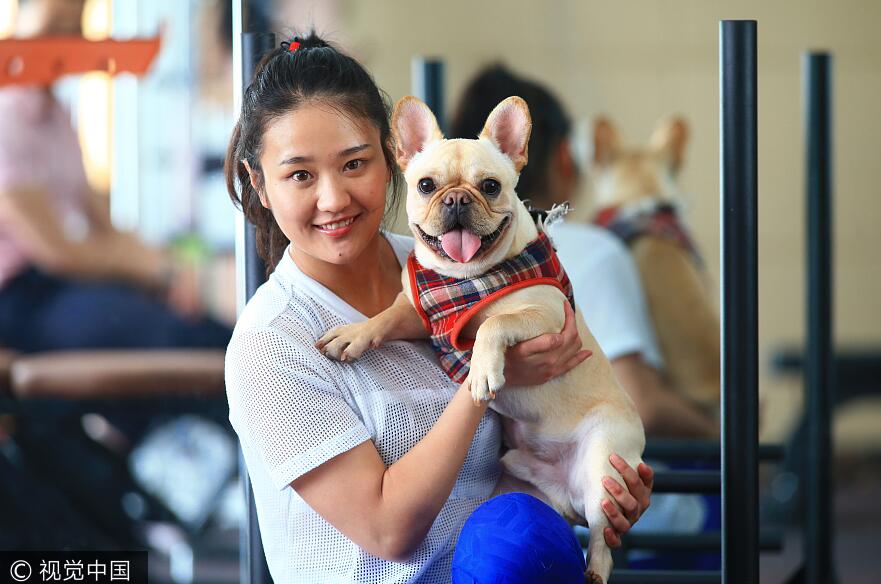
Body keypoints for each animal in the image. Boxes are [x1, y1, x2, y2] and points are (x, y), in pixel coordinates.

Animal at [314, 97, 640, 584]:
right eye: (426, 185)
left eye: (489, 186)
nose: (456, 198)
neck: (467, 278)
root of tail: (567, 495)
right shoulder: (420, 317)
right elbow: (386, 316)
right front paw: (354, 335)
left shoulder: (546, 313)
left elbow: (493, 324)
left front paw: (484, 372)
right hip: (522, 483)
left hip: (605, 464)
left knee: (603, 539)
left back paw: (595, 570)